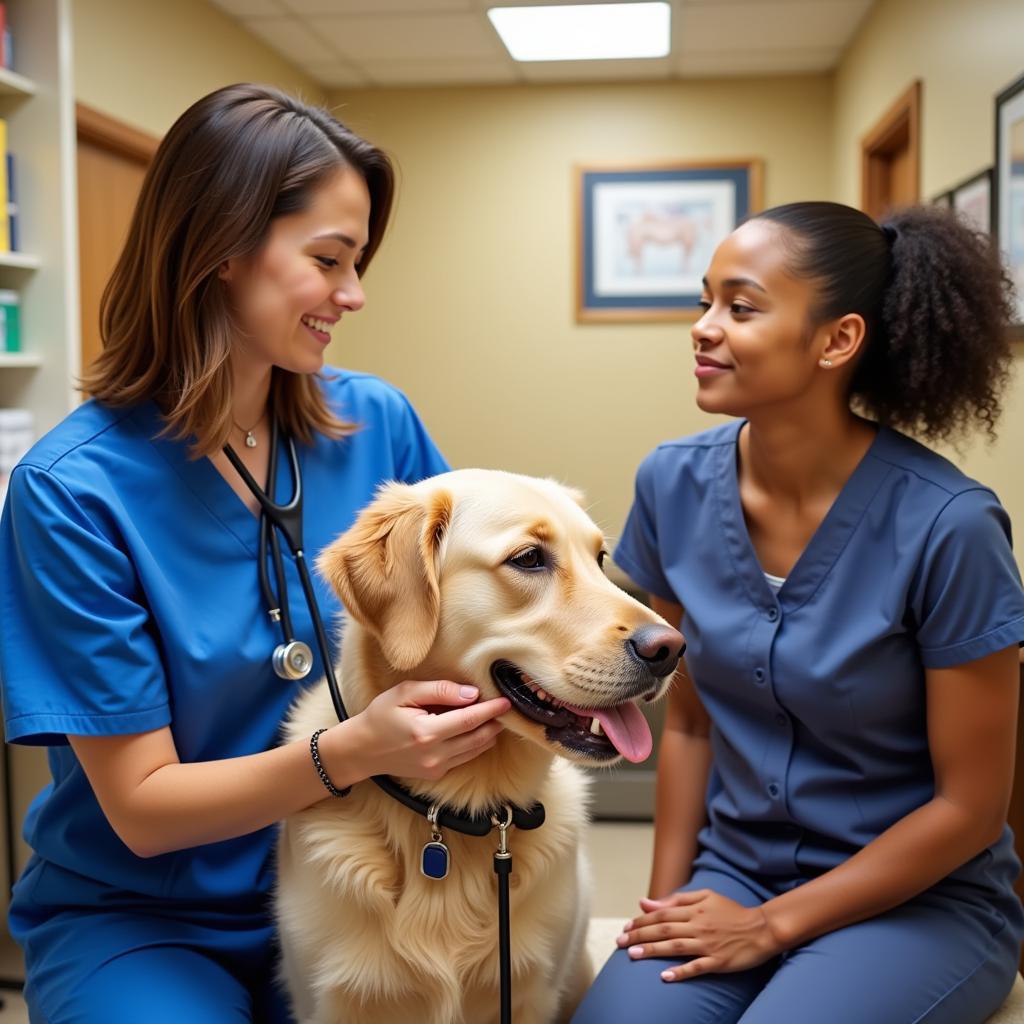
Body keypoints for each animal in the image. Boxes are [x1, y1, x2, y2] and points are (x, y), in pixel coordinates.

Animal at [276, 471, 684, 1024]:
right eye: (529, 558)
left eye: (600, 559)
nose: (672, 649)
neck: (463, 809)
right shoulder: (334, 1005)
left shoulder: (531, 995)